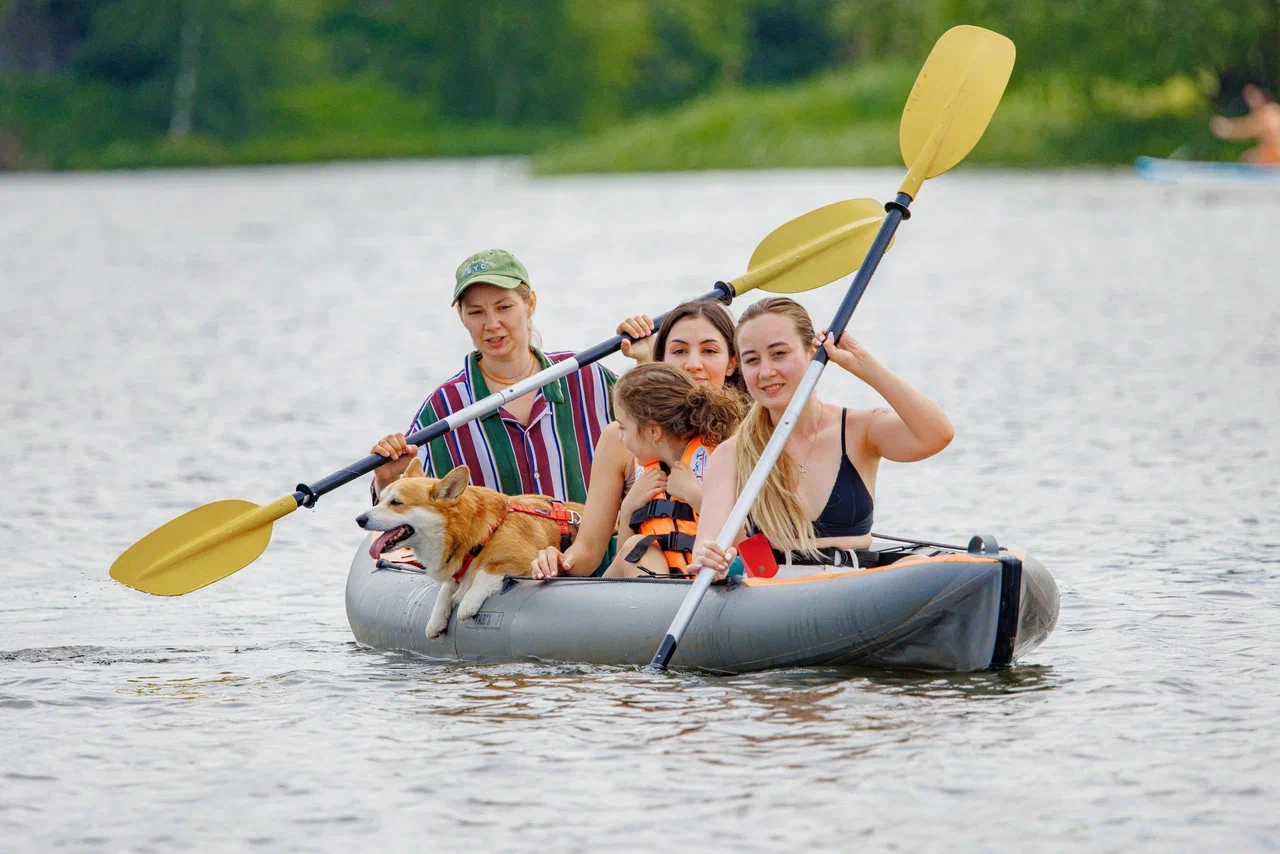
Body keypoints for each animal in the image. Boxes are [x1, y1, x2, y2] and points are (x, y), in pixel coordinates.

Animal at [358, 460, 583, 635]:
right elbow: (446, 588)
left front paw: (467, 604)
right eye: (381, 499)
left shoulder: (525, 558)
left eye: (396, 503)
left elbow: (485, 573)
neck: (481, 533)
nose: (359, 519)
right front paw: (436, 620)